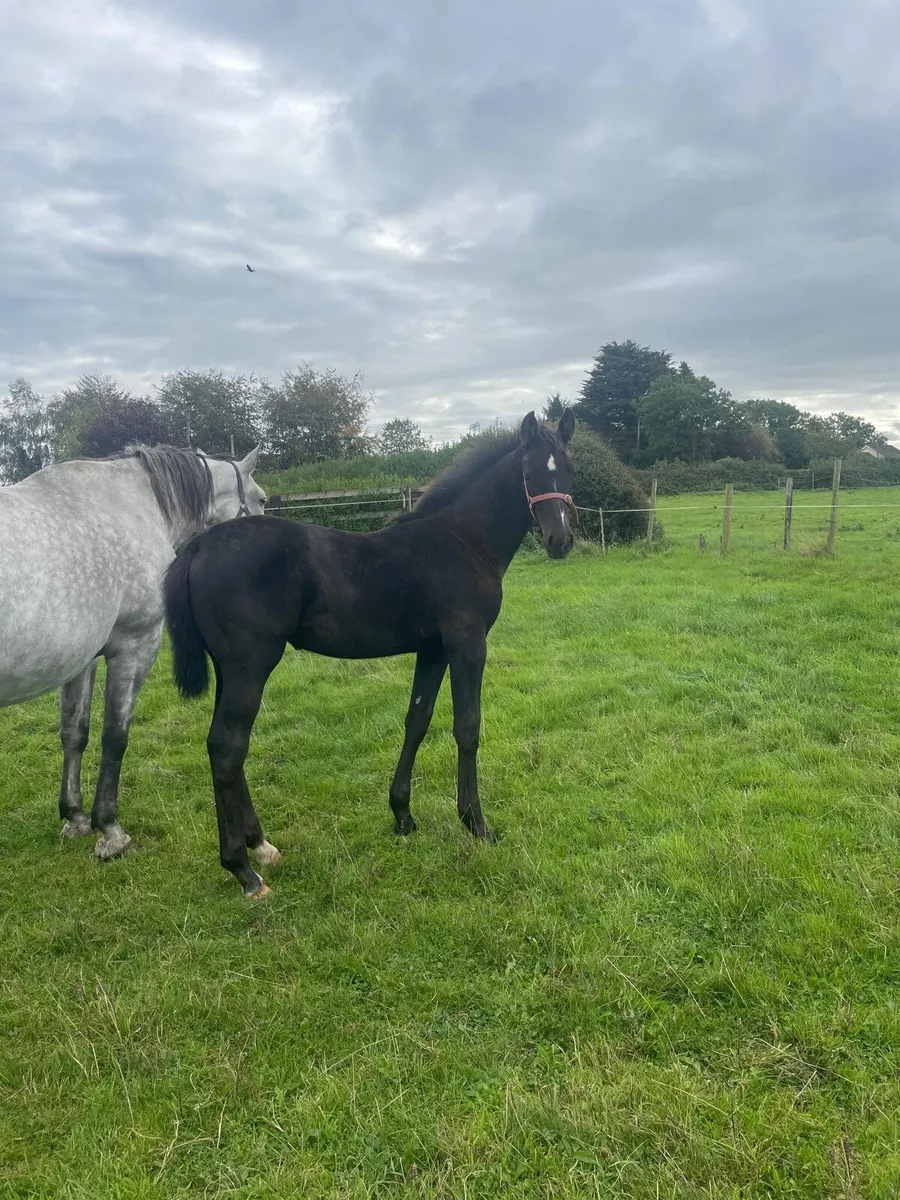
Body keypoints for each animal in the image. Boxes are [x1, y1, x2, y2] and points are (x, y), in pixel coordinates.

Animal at [0, 444, 266, 859]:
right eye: (261, 499)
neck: (138, 503)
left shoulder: (81, 661)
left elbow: (74, 733)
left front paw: (75, 818)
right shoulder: (135, 646)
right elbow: (115, 736)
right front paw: (110, 831)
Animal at [163, 410, 577, 898]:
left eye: (569, 469)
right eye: (530, 472)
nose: (560, 541)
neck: (462, 540)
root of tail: (200, 544)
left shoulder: (432, 651)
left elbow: (417, 721)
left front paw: (403, 815)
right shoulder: (468, 645)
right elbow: (467, 728)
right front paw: (476, 824)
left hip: (230, 670)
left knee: (219, 745)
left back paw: (261, 846)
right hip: (251, 667)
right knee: (229, 748)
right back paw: (244, 871)